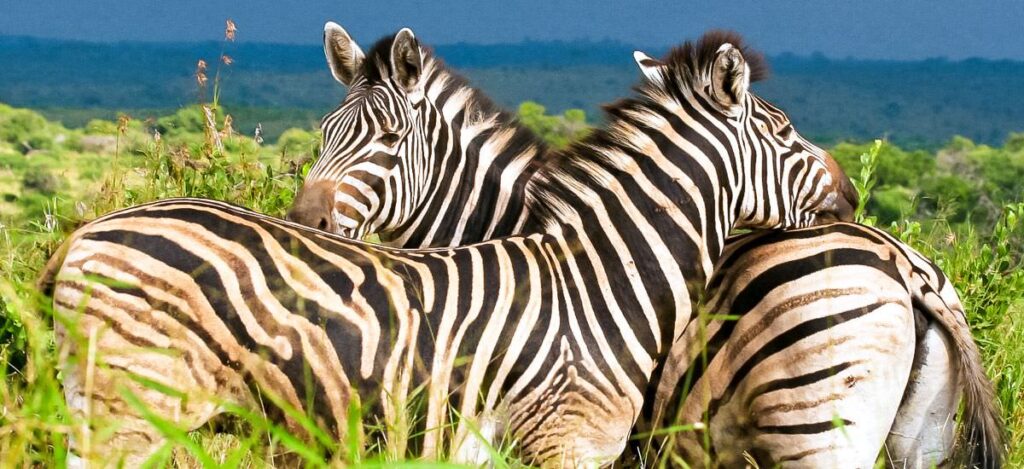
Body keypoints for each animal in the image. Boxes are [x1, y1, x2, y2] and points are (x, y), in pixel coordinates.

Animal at [40, 27, 858, 467]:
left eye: (386, 139)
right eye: (787, 132)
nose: (852, 193)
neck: (600, 279)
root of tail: (89, 231)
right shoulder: (562, 443)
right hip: (130, 406)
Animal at [287, 25, 1003, 467]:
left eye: (387, 141)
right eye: (324, 133)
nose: (302, 219)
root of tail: (906, 266)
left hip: (817, 428)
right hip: (919, 437)